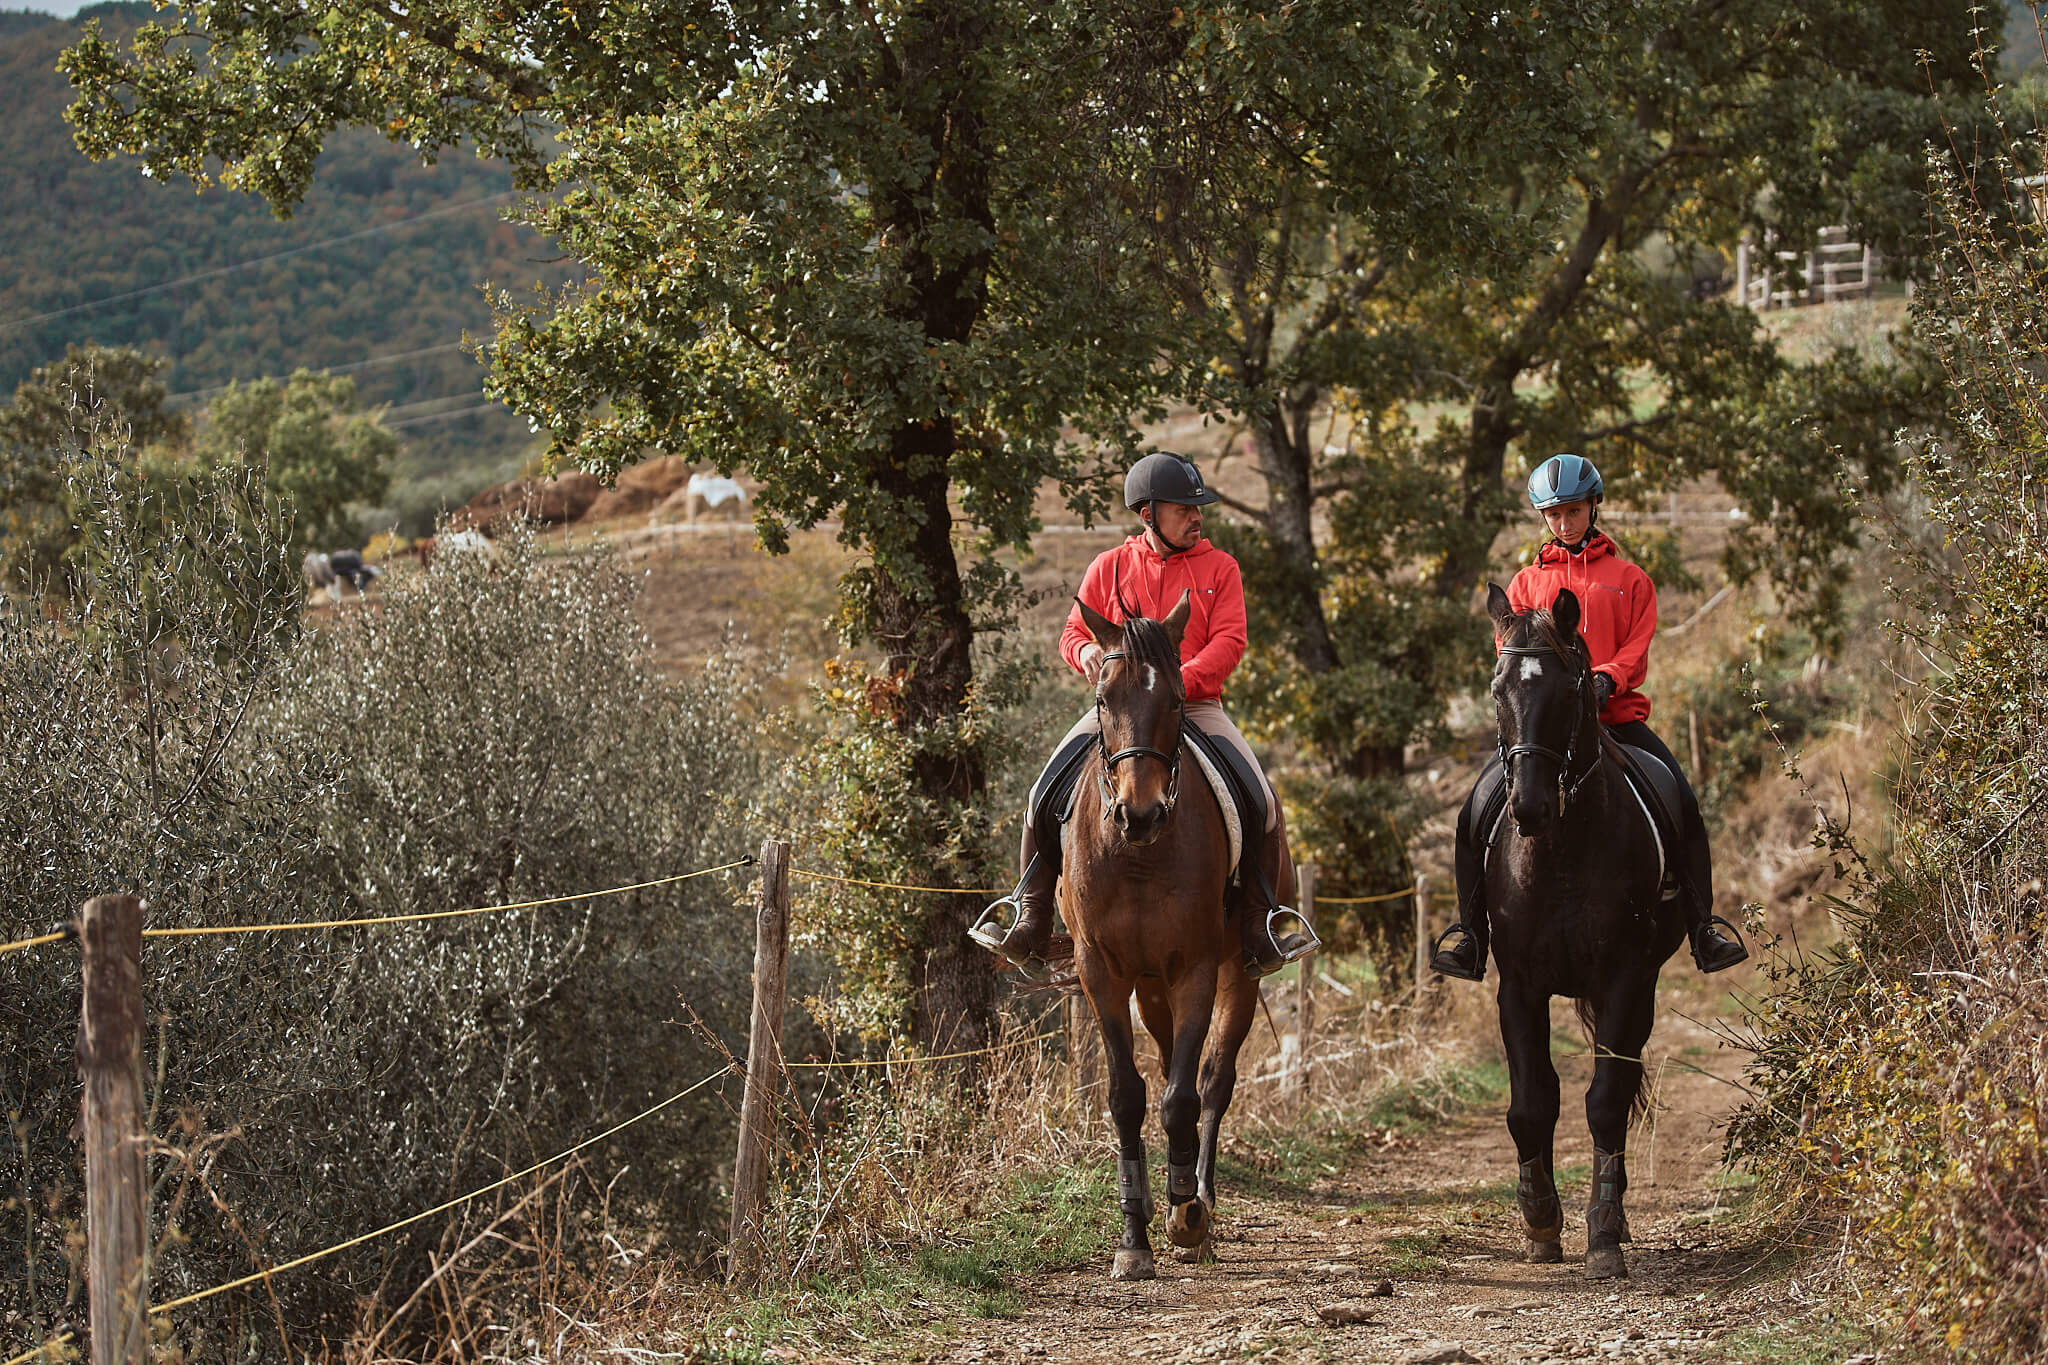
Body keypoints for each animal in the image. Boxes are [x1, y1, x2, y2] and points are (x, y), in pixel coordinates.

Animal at [1064, 592, 1272, 1280]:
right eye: (1104, 699)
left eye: (1179, 700)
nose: (1140, 813)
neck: (1138, 857)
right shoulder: (1102, 973)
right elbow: (1128, 1094)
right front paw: (1134, 1234)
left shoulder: (1197, 971)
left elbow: (1182, 1095)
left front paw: (1186, 1214)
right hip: (1149, 988)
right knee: (1161, 1057)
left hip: (1237, 976)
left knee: (1213, 1081)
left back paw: (1199, 1199)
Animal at [1478, 583, 1685, 1279]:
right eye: (1497, 690)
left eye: (1569, 692)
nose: (1529, 806)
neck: (1562, 849)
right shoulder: (1518, 986)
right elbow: (1531, 1102)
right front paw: (1540, 1220)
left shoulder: (1624, 980)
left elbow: (1605, 1101)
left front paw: (1602, 1233)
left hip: (1643, 989)